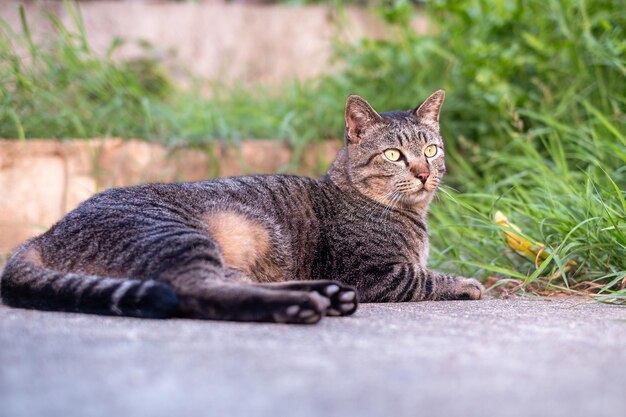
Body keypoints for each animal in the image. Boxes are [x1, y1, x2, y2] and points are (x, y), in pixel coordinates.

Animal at [0, 91, 482, 324]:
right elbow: (427, 278)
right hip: (178, 236)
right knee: (195, 292)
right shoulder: (375, 273)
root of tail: (45, 233)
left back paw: (322, 293)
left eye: (432, 150)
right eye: (394, 156)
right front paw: (468, 283)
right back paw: (301, 307)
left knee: (229, 281)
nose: (424, 173)